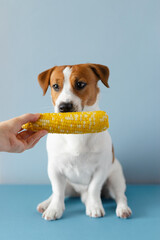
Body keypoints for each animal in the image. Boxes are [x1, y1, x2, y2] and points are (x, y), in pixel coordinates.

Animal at [37, 63, 132, 219]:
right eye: (55, 86)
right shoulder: (54, 169)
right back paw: (45, 204)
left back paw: (122, 209)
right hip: (68, 184)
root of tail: (80, 193)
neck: (75, 133)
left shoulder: (101, 169)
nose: (64, 106)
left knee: (120, 196)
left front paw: (94, 206)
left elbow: (94, 188)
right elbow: (57, 192)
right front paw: (54, 209)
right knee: (59, 193)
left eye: (80, 84)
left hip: (115, 177)